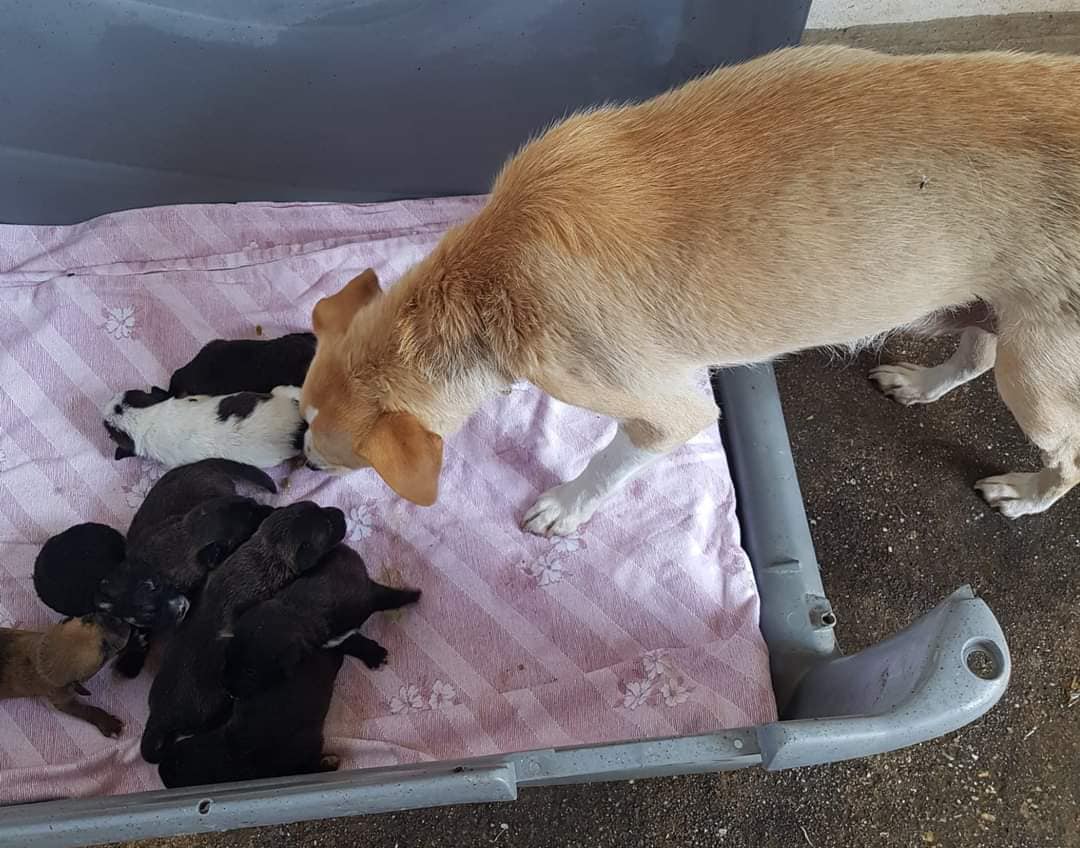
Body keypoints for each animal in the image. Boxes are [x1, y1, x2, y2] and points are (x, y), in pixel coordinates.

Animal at [0, 615, 130, 737]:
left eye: (88, 619)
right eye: (104, 651)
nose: (126, 624)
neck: (39, 660)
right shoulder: (62, 699)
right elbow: (86, 709)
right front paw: (109, 723)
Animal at [225, 544, 420, 697]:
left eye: (251, 672)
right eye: (229, 656)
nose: (230, 692)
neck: (299, 613)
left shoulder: (365, 595)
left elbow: (386, 598)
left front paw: (414, 595)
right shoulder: (328, 640)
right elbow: (350, 641)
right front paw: (373, 653)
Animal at [300, 46, 1080, 530]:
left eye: (335, 448)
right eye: (303, 414)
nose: (300, 456)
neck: (487, 272)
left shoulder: (664, 408)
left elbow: (613, 460)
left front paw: (567, 506)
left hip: (1038, 376)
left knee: (1068, 457)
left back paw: (1025, 493)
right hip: (983, 310)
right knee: (977, 350)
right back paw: (921, 385)